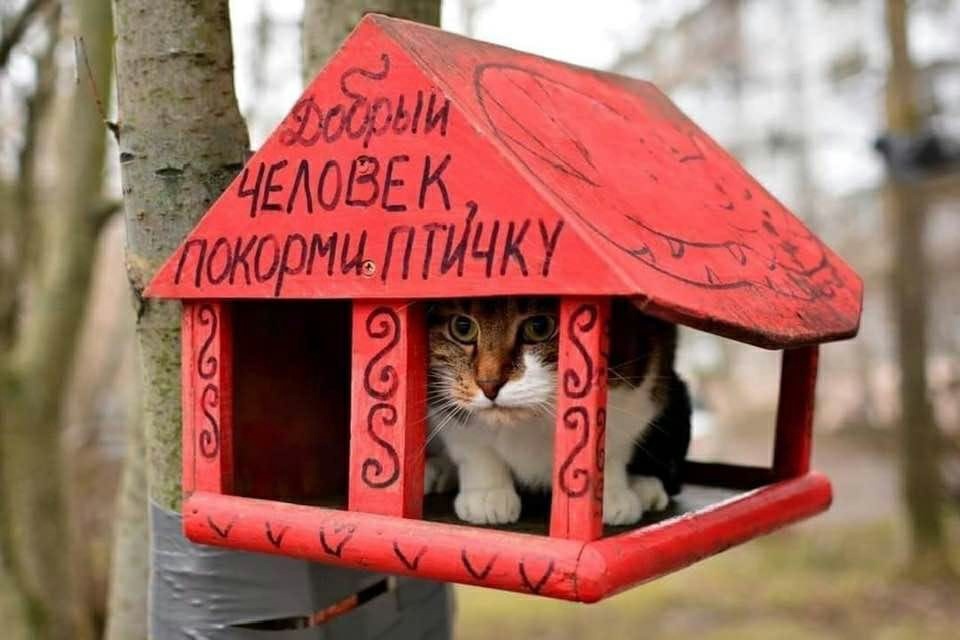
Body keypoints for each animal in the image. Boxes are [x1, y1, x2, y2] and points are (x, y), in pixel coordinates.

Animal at [426, 296, 688, 524]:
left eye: (539, 327)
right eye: (462, 327)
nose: (489, 385)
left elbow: (615, 437)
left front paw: (610, 492)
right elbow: (472, 443)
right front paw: (488, 492)